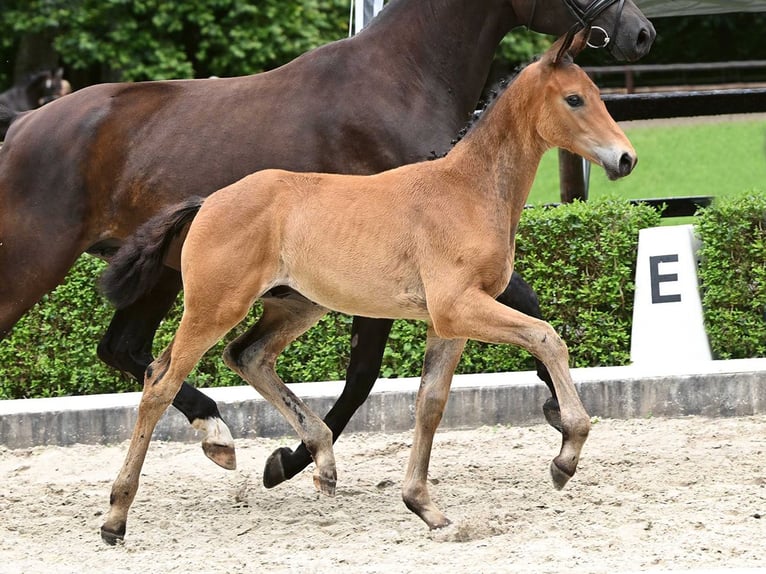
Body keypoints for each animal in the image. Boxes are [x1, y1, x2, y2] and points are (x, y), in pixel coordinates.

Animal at [0, 1, 656, 476]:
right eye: (575, 98)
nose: (643, 33)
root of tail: (21, 125)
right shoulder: (422, 290)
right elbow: (373, 370)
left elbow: (522, 319)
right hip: (43, 268)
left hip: (182, 281)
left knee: (140, 350)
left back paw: (220, 433)